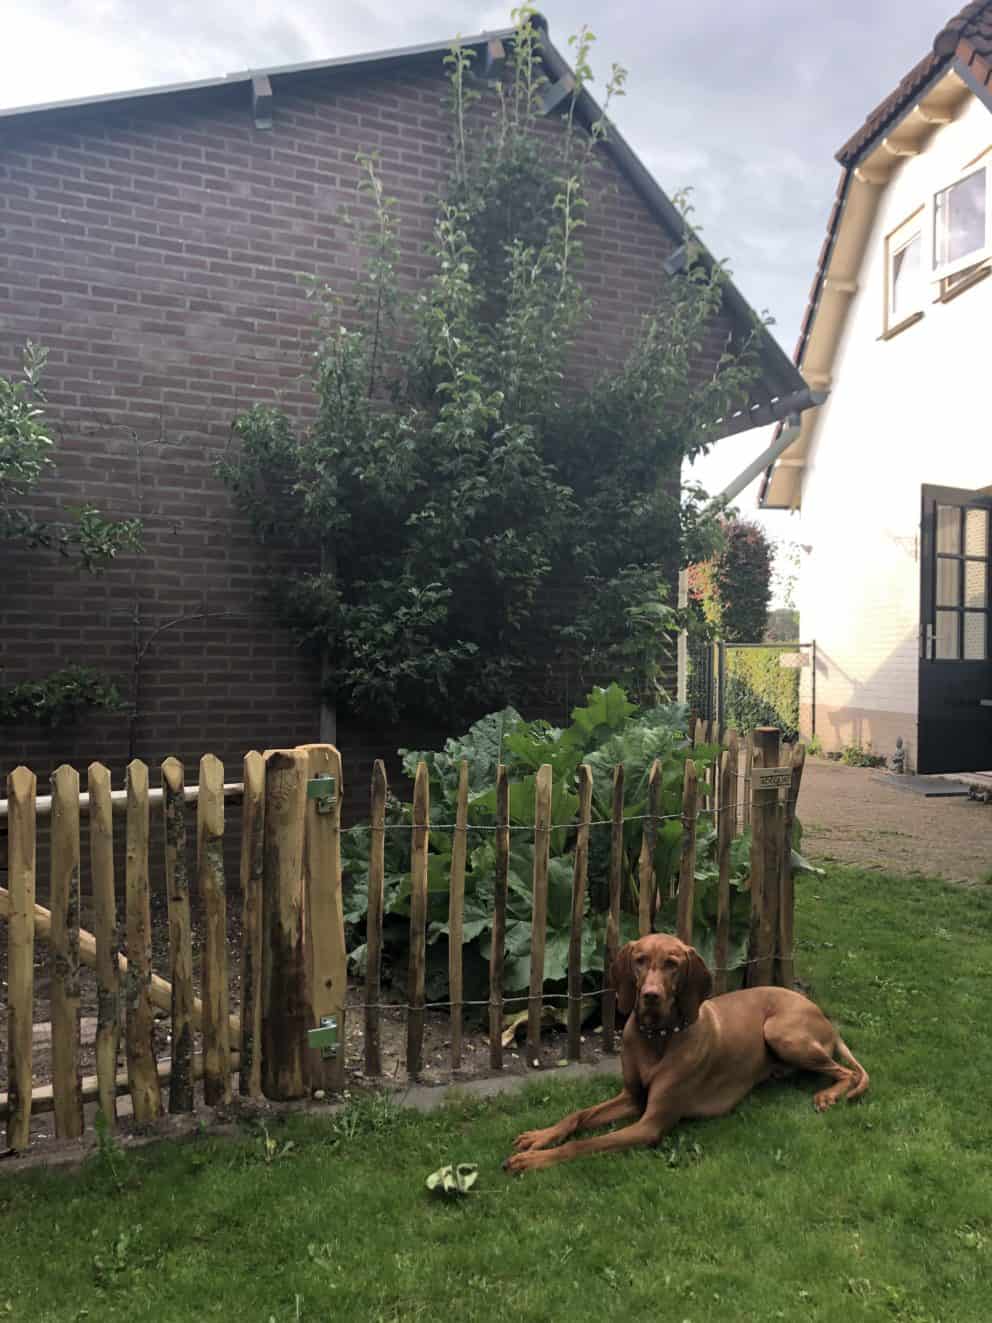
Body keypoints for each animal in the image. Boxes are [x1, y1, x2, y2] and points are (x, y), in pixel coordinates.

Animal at [505, 936, 867, 1174]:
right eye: (639, 960)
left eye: (672, 964)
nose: (650, 996)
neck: (656, 1038)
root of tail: (820, 1012)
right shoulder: (632, 1097)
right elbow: (577, 1115)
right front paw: (540, 1137)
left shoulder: (650, 1124)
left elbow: (586, 1143)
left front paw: (535, 1160)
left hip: (780, 1031)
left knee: (848, 1073)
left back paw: (828, 1095)